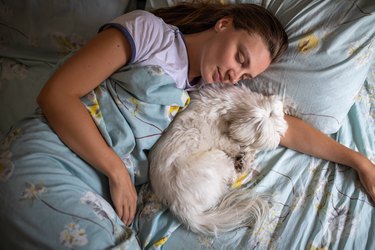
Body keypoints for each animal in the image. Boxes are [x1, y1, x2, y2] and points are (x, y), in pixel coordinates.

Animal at [148, 83, 288, 235]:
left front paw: (246, 157)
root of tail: (183, 208)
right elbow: (233, 145)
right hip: (218, 158)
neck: (229, 103)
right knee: (231, 177)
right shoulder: (220, 138)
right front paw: (244, 157)